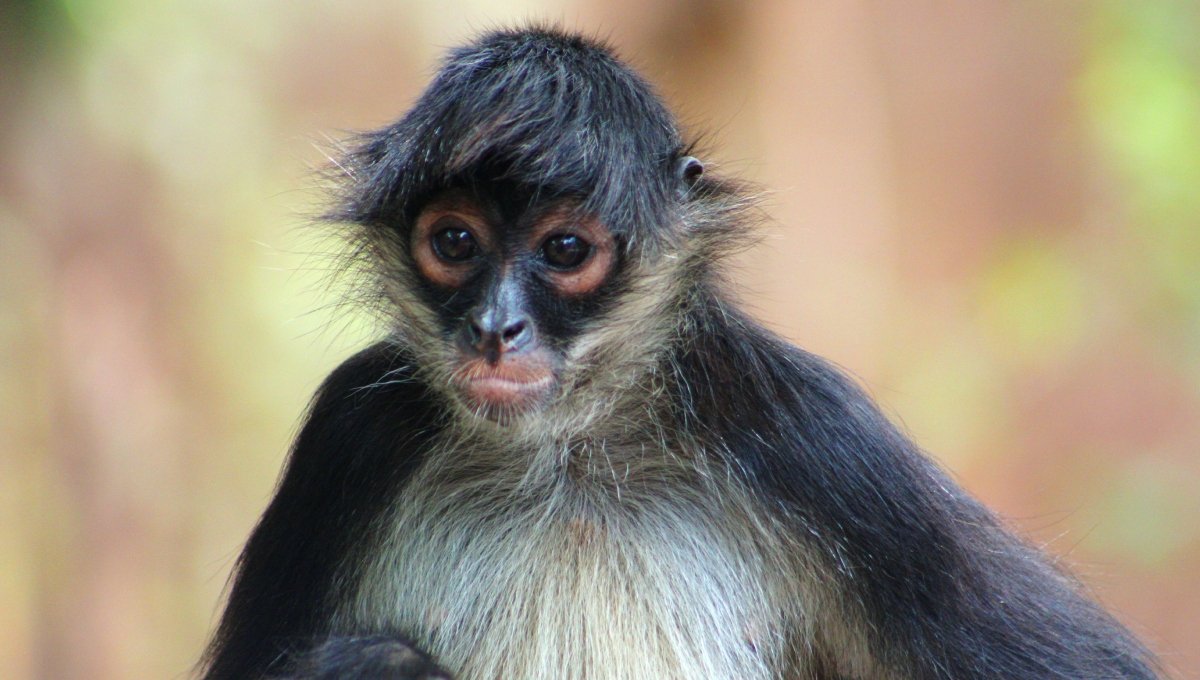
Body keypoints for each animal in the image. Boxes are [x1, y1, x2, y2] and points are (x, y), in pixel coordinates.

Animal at [200, 27, 1160, 680]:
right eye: (453, 241)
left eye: (565, 250)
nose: (496, 328)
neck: (566, 455)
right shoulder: (355, 424)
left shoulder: (809, 430)